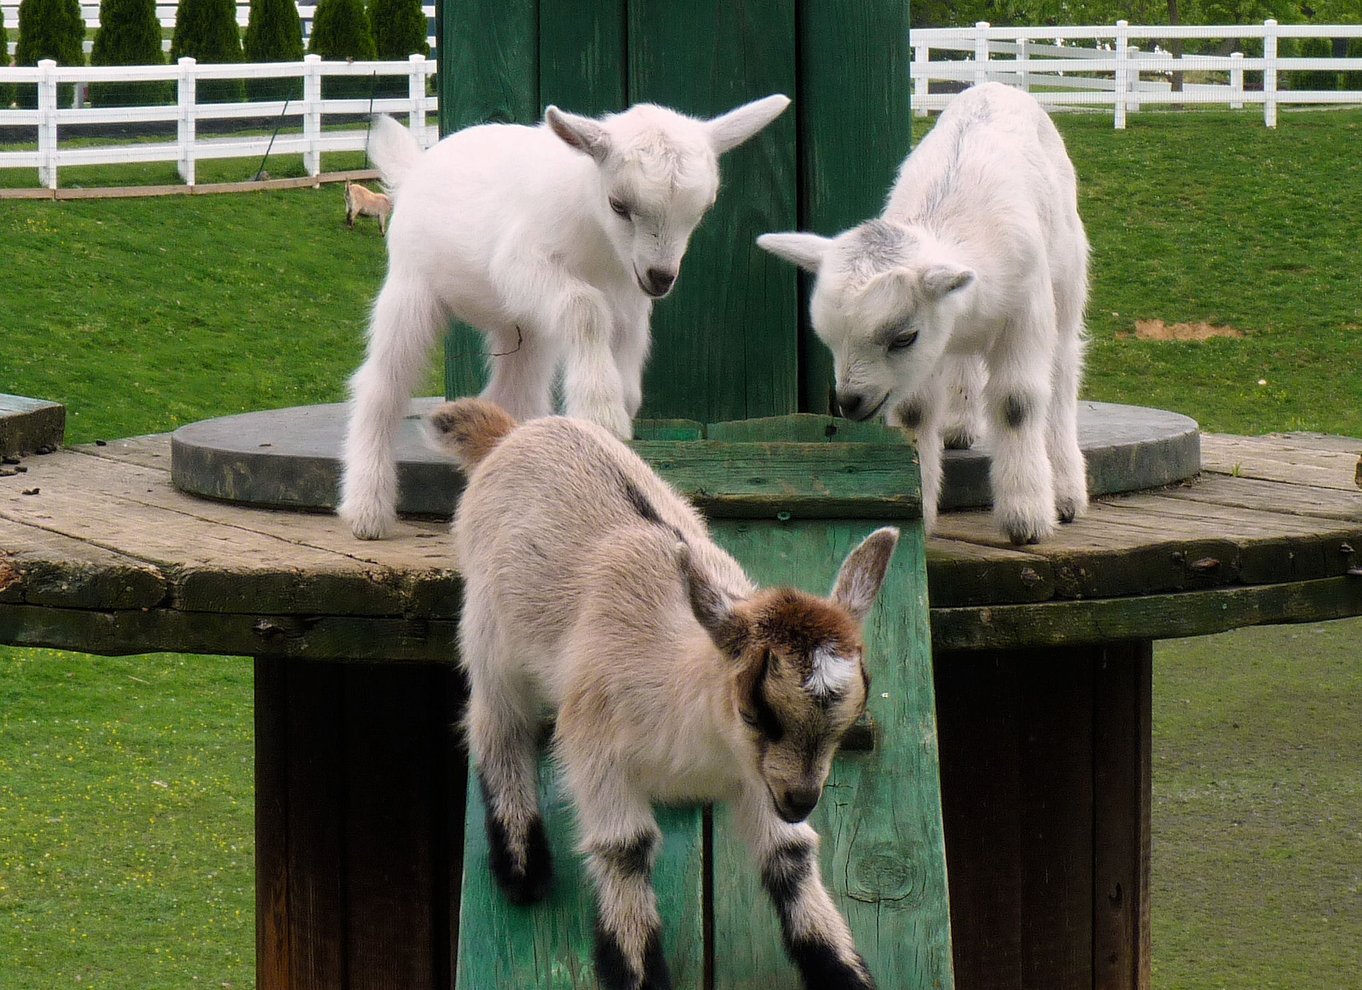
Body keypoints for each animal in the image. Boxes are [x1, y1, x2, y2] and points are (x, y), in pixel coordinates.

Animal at [335, 96, 795, 539]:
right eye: (619, 205)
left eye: (703, 209)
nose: (661, 277)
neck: (598, 239)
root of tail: (415, 168)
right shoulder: (521, 263)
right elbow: (585, 308)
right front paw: (600, 409)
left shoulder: (628, 298)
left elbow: (628, 355)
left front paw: (620, 403)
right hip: (411, 287)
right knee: (382, 386)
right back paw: (367, 509)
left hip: (525, 326)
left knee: (512, 393)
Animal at [433, 397, 904, 990]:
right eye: (757, 713)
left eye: (847, 720)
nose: (802, 800)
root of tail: (512, 433)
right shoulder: (595, 745)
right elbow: (625, 848)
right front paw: (635, 971)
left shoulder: (756, 774)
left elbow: (790, 854)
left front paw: (842, 969)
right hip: (490, 628)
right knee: (497, 723)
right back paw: (521, 864)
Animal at [762, 83, 1089, 550]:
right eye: (829, 340)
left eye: (902, 338)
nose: (849, 402)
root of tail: (996, 86)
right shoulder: (932, 346)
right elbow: (915, 412)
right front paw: (922, 509)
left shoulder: (1025, 313)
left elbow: (1017, 403)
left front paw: (1025, 519)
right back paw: (960, 426)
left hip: (1066, 279)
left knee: (1061, 372)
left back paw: (1065, 491)